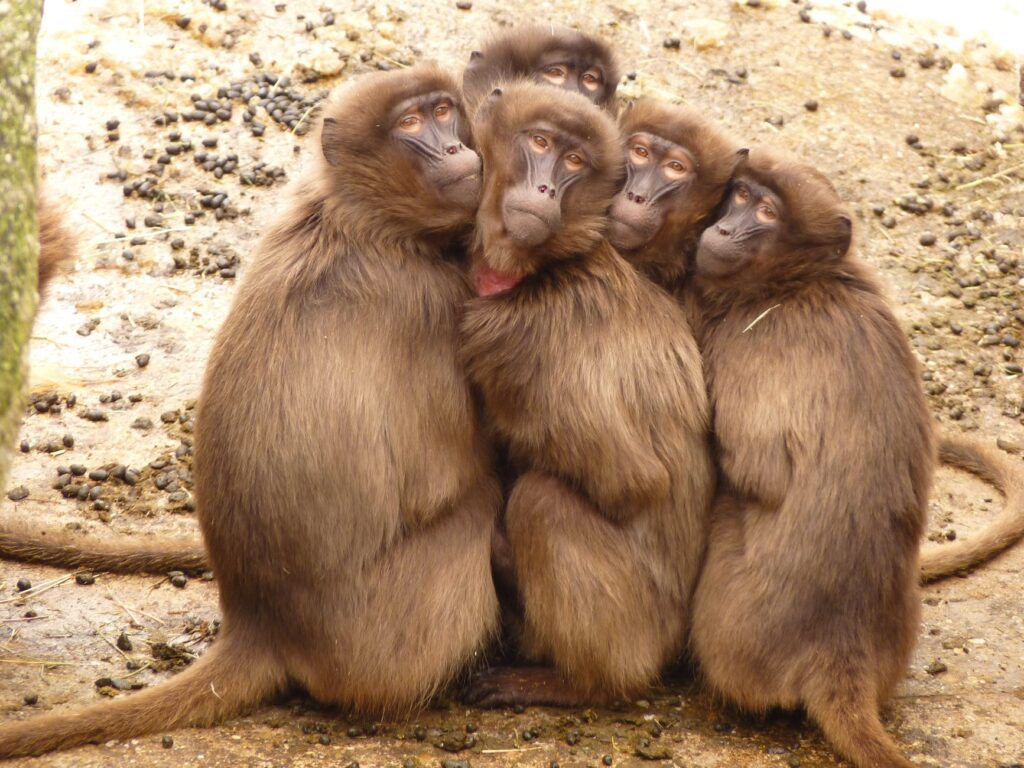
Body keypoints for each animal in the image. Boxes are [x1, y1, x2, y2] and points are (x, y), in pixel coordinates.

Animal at [0, 63, 501, 758]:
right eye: (410, 123)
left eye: (445, 111)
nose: (455, 147)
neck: (358, 217)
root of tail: (261, 622)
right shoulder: (432, 302)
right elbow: (450, 476)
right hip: (391, 639)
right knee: (482, 508)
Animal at [458, 82, 714, 706]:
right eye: (540, 143)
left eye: (573, 161)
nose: (545, 187)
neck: (544, 267)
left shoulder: (524, 340)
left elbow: (632, 482)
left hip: (636, 630)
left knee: (542, 502)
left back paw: (576, 683)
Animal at [686, 146, 933, 768]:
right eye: (741, 195)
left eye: (767, 211)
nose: (723, 229)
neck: (800, 282)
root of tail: (842, 650)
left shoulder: (752, 344)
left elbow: (757, 471)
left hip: (739, 624)